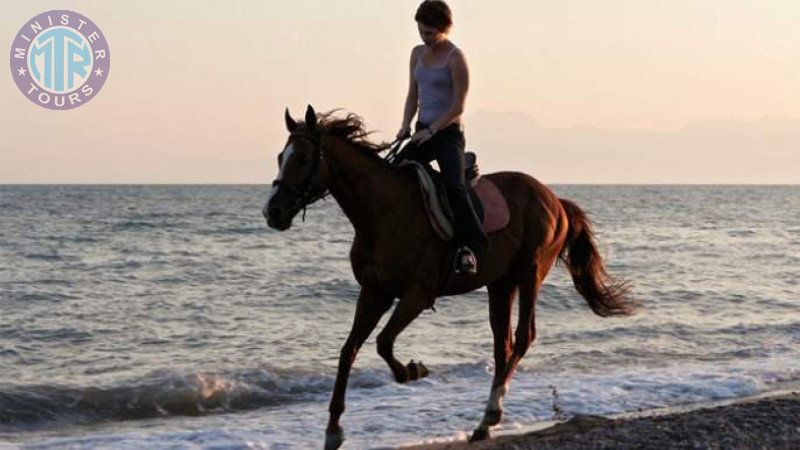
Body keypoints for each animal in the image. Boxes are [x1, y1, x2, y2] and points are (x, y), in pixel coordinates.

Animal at [262, 106, 636, 450]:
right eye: (281, 157)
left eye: (303, 158)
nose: (272, 212)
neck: (382, 215)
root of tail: (554, 199)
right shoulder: (373, 293)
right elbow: (348, 352)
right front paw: (333, 431)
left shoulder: (416, 294)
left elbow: (383, 342)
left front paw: (412, 371)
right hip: (501, 284)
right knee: (503, 344)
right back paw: (484, 423)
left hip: (531, 272)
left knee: (523, 336)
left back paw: (491, 413)